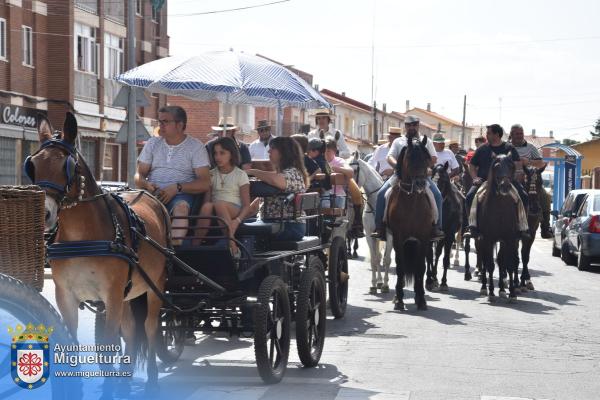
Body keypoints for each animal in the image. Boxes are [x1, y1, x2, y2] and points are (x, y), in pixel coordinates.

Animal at [28, 112, 169, 394]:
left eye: (66, 166)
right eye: (34, 165)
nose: (44, 215)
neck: (82, 237)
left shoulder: (111, 296)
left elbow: (108, 348)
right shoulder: (66, 297)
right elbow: (73, 344)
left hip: (154, 286)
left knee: (148, 328)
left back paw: (151, 380)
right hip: (128, 294)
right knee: (131, 330)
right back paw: (125, 382)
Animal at [352, 158, 394, 292]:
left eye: (354, 171)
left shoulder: (390, 236)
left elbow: (387, 259)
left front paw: (385, 285)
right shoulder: (370, 235)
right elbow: (375, 259)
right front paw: (374, 284)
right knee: (378, 256)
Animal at [386, 136, 434, 310]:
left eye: (426, 159)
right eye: (409, 158)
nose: (420, 184)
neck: (411, 201)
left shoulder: (424, 238)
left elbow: (420, 268)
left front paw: (421, 299)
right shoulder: (398, 238)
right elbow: (400, 267)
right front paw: (399, 299)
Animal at [426, 162, 468, 290]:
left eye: (444, 179)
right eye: (431, 178)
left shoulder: (449, 235)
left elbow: (444, 258)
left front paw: (443, 282)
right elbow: (430, 255)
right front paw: (429, 280)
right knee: (435, 253)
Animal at [474, 153, 520, 300]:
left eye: (511, 166)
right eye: (496, 166)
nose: (505, 186)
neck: (500, 209)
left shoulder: (509, 239)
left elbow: (508, 263)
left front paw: (511, 292)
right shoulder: (488, 239)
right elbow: (490, 265)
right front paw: (491, 292)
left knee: (500, 260)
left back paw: (502, 288)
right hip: (482, 240)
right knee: (484, 260)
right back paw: (484, 287)